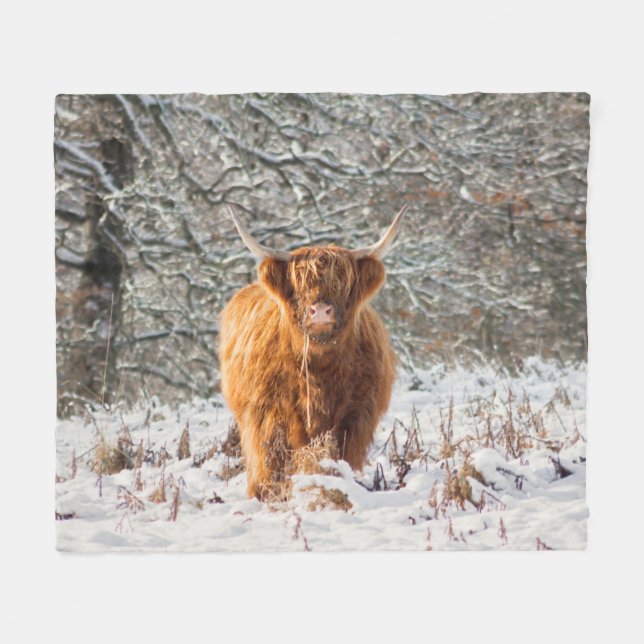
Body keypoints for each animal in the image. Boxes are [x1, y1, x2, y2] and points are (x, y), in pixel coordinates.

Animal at [218, 204, 408, 500]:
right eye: (300, 285)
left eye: (342, 284)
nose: (320, 311)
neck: (318, 370)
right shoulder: (267, 414)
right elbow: (271, 462)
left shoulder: (355, 416)